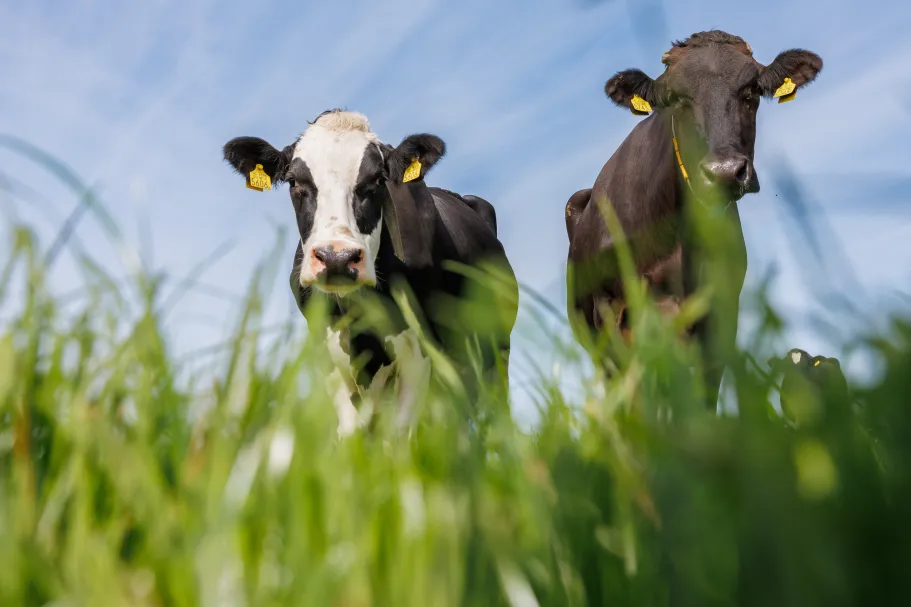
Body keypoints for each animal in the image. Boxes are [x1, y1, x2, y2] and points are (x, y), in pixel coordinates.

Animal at [222, 109, 518, 435]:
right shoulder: (328, 354)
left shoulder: (419, 353)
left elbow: (400, 434)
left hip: (495, 352)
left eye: (378, 180)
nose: (337, 258)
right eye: (293, 181)